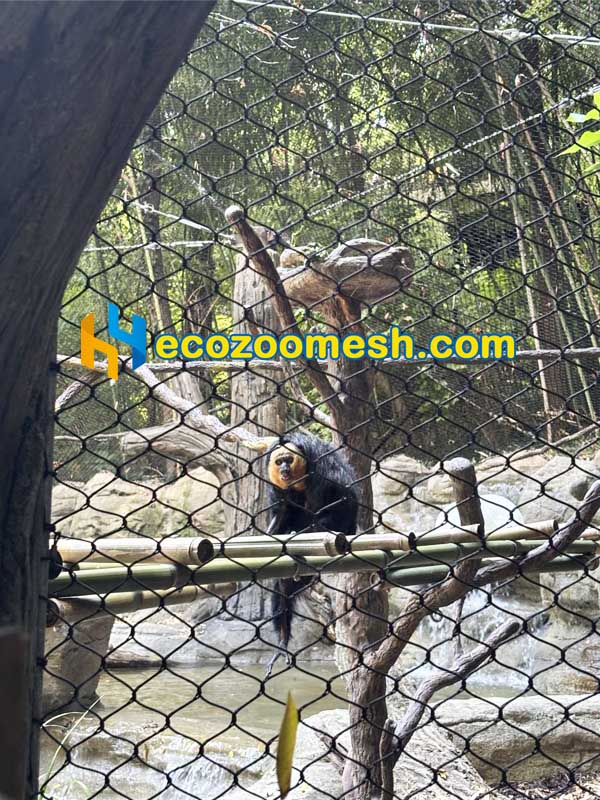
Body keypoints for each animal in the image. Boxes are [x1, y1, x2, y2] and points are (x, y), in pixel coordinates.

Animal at [264, 432, 358, 675]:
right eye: (279, 461)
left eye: (288, 459)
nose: (284, 469)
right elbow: (281, 510)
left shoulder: (322, 466)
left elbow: (341, 501)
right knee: (283, 587)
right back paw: (282, 640)